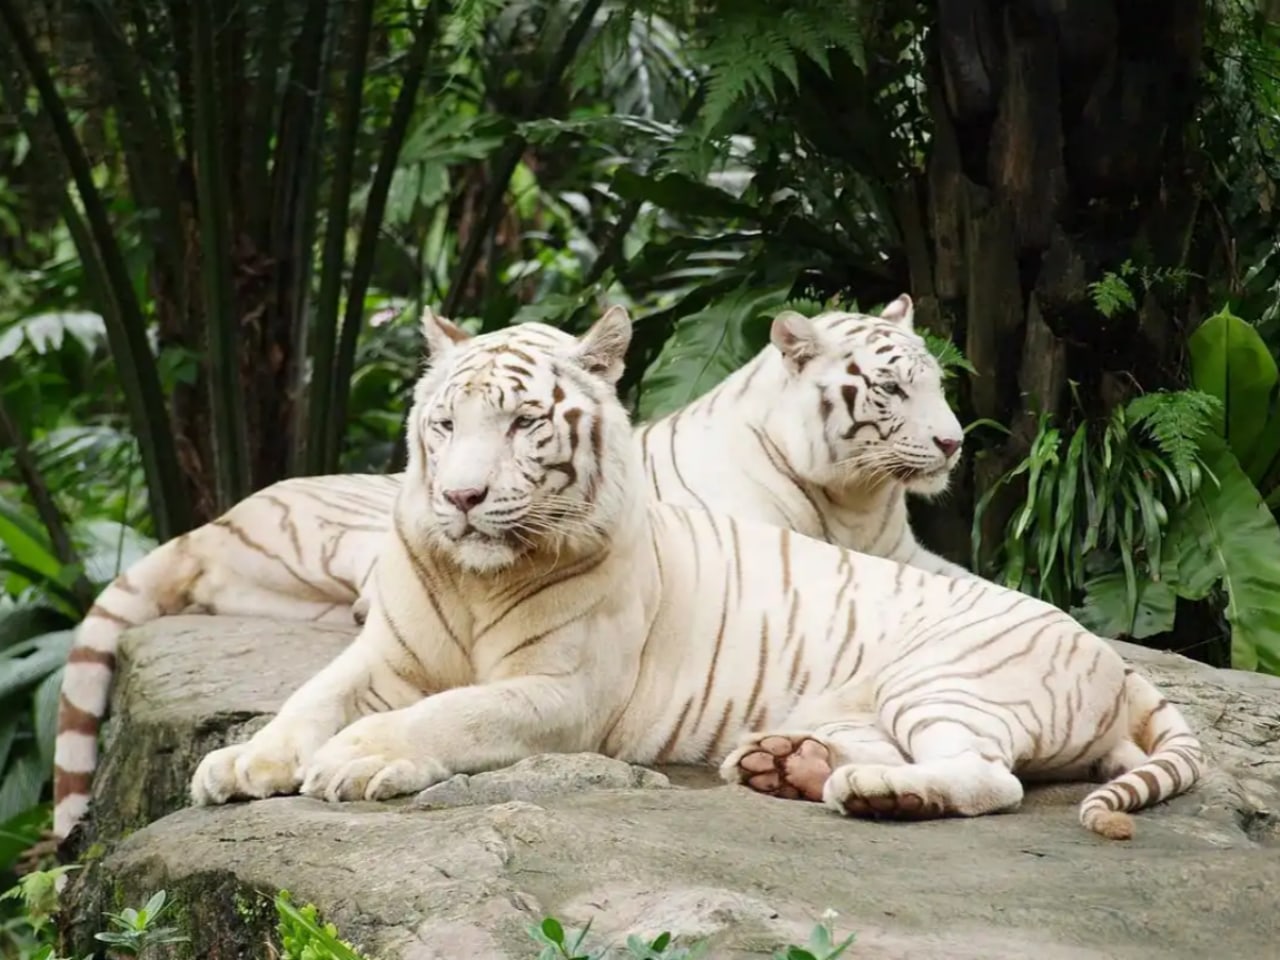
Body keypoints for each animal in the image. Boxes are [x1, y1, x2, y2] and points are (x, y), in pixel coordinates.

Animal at [188, 306, 1204, 841]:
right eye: (444, 424)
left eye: (523, 423)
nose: (463, 497)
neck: (475, 576)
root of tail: (1119, 663)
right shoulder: (384, 653)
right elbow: (308, 699)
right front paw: (241, 762)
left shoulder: (562, 691)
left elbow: (450, 714)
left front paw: (356, 760)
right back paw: (789, 765)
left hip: (944, 678)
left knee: (989, 778)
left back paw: (871, 794)